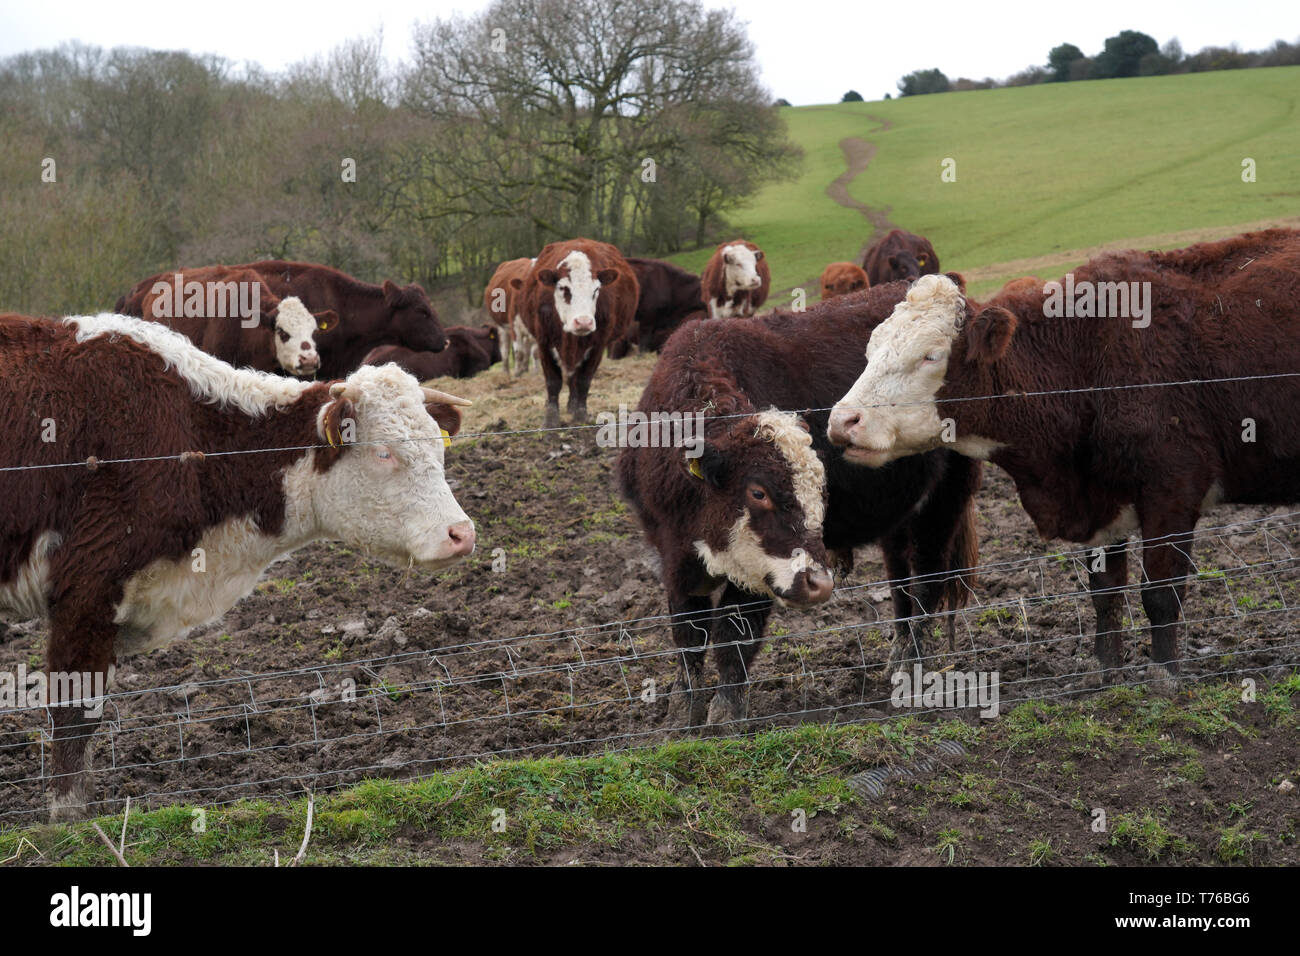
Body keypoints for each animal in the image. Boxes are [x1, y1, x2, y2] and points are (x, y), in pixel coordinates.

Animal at [0, 312, 475, 819]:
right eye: (384, 452)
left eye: (438, 448)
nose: (461, 533)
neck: (191, 439)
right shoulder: (87, 589)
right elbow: (76, 712)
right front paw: (67, 818)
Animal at [513, 239, 639, 428]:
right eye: (564, 288)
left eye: (596, 290)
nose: (584, 321)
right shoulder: (544, 342)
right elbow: (553, 381)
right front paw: (551, 419)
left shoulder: (598, 345)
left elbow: (583, 380)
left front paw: (580, 414)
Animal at [617, 282, 981, 728]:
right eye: (758, 492)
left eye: (821, 491)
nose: (819, 583)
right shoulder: (673, 555)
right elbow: (688, 633)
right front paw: (682, 709)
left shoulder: (755, 574)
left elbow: (733, 634)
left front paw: (725, 711)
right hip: (901, 520)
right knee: (901, 583)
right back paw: (896, 659)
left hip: (945, 501)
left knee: (928, 579)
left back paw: (912, 670)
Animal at [828, 229, 1300, 693]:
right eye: (871, 351)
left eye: (931, 355)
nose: (843, 420)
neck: (1086, 359)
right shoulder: (1102, 495)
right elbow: (1105, 591)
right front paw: (1104, 671)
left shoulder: (1173, 490)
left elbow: (1160, 592)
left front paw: (1164, 675)